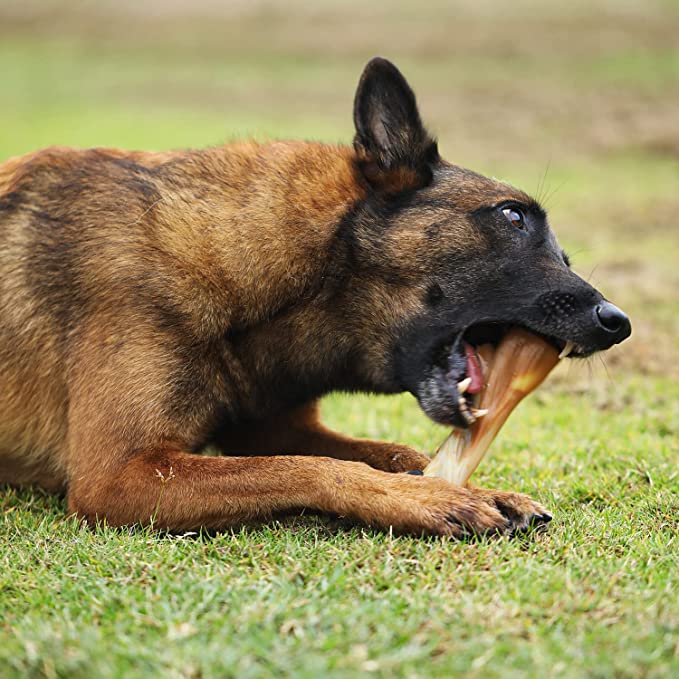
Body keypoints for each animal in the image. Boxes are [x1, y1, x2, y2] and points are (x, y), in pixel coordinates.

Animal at [0, 57, 632, 536]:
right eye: (512, 216)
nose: (617, 321)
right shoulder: (118, 475)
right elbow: (313, 467)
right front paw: (426, 500)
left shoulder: (267, 429)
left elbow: (393, 452)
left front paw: (477, 487)